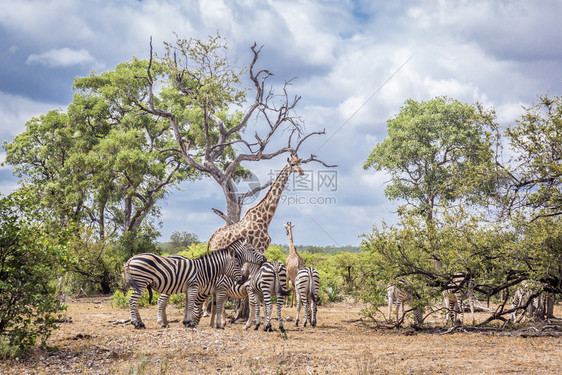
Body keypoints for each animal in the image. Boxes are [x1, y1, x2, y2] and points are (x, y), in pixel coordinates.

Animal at [122, 241, 262, 328]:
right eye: (253, 250)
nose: (244, 279)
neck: (206, 269)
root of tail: (131, 259)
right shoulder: (211, 287)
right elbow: (199, 306)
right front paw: (194, 323)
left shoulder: (204, 289)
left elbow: (209, 306)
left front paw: (210, 324)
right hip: (142, 283)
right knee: (134, 301)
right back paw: (138, 323)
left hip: (153, 285)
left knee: (147, 302)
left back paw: (153, 323)